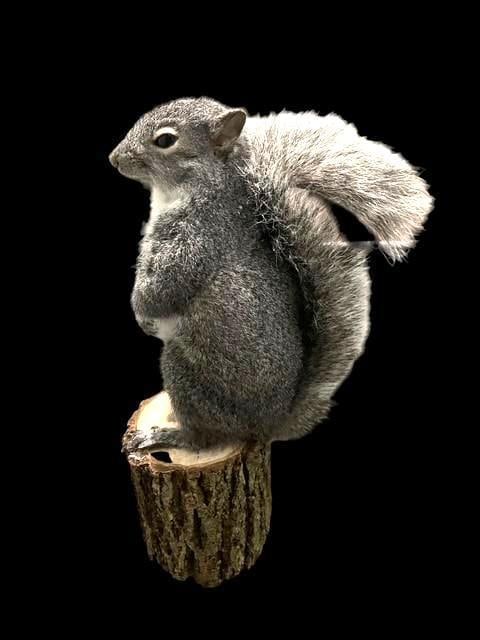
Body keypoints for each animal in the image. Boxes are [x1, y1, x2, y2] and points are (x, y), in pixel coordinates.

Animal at [109, 97, 433, 452]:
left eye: (166, 140)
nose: (114, 158)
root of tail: (269, 423)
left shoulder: (197, 240)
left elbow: (163, 289)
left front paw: (143, 315)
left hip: (185, 374)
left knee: (205, 436)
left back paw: (168, 435)